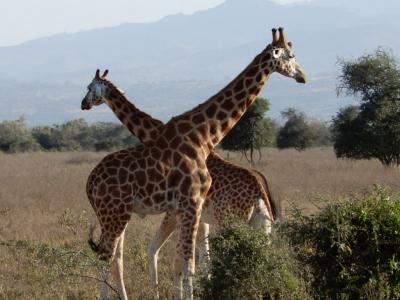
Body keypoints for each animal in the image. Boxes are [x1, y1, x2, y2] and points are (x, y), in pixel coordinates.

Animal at [81, 27, 306, 300]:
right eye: (291, 55)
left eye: (89, 87)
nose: (303, 76)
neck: (202, 135)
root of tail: (90, 181)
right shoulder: (188, 205)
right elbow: (185, 262)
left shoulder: (187, 208)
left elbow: (184, 262)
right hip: (117, 213)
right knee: (108, 256)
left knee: (113, 257)